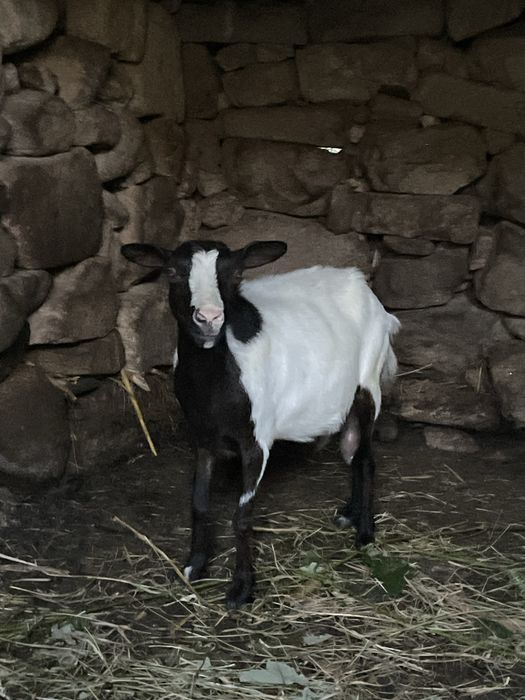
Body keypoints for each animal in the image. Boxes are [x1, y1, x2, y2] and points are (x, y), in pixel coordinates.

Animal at [121, 240, 400, 608]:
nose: (209, 318)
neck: (217, 383)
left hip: (368, 383)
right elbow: (199, 503)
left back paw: (365, 534)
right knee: (353, 453)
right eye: (173, 272)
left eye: (236, 274)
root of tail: (361, 284)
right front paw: (195, 565)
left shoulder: (256, 441)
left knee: (365, 458)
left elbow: (241, 518)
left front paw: (241, 589)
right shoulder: (203, 438)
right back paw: (349, 514)